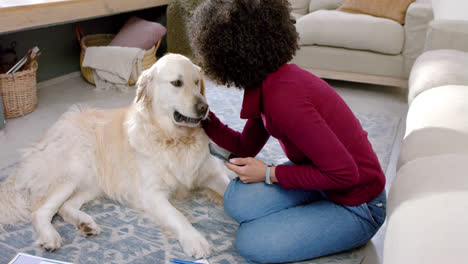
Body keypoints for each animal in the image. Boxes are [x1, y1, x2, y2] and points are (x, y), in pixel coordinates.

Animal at [0, 53, 230, 258]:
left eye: (197, 82)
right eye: (176, 83)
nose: (204, 107)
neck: (175, 138)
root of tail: (44, 138)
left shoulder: (213, 173)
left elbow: (229, 187)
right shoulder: (152, 194)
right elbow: (178, 216)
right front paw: (195, 240)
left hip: (93, 183)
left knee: (65, 207)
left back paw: (85, 223)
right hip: (72, 171)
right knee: (39, 211)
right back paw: (50, 237)